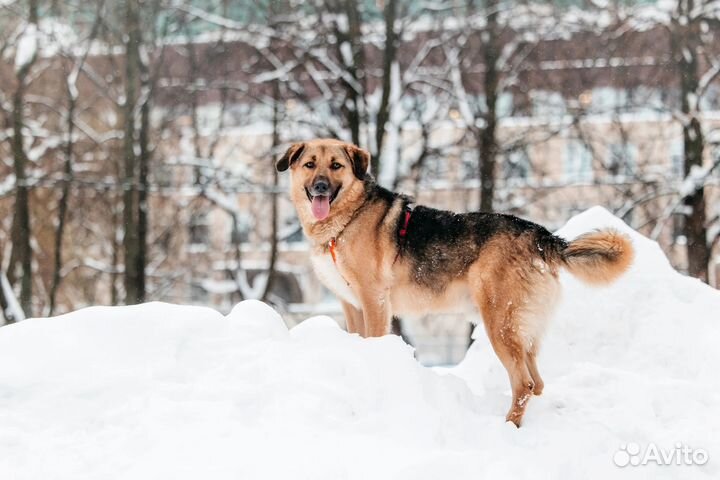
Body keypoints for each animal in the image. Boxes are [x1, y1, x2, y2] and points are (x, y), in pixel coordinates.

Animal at [278, 137, 632, 426]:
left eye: (336, 166)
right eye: (310, 165)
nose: (320, 187)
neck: (347, 218)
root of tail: (541, 236)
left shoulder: (374, 299)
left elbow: (374, 338)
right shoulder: (351, 305)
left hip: (500, 323)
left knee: (524, 383)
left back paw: (507, 428)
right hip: (522, 329)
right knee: (538, 383)